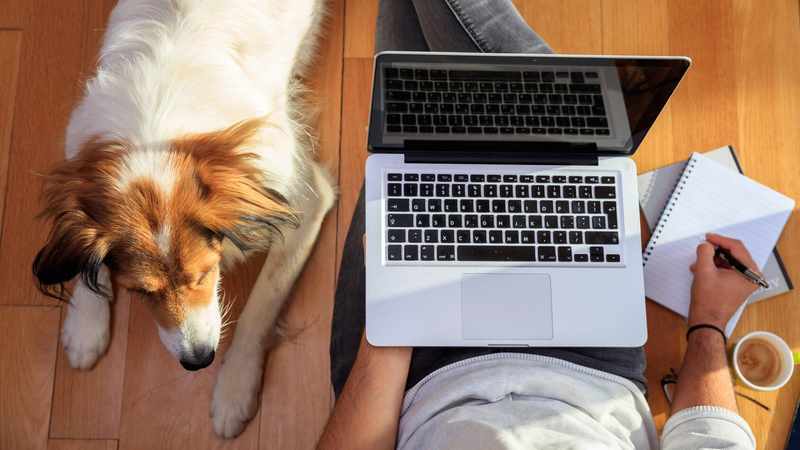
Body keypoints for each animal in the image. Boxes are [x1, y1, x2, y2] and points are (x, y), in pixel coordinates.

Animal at [32, 0, 332, 440]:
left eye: (206, 274)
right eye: (140, 292)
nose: (198, 361)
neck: (156, 137)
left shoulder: (304, 199)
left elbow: (261, 305)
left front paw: (234, 388)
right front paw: (86, 326)